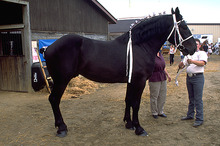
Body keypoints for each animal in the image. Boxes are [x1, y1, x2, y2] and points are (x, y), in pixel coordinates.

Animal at [41, 7, 196, 137]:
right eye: (183, 26)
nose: (193, 48)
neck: (140, 46)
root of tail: (48, 47)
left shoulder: (131, 81)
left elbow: (128, 100)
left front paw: (129, 123)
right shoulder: (140, 81)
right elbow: (136, 103)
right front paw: (139, 128)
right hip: (61, 80)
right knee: (54, 99)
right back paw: (62, 128)